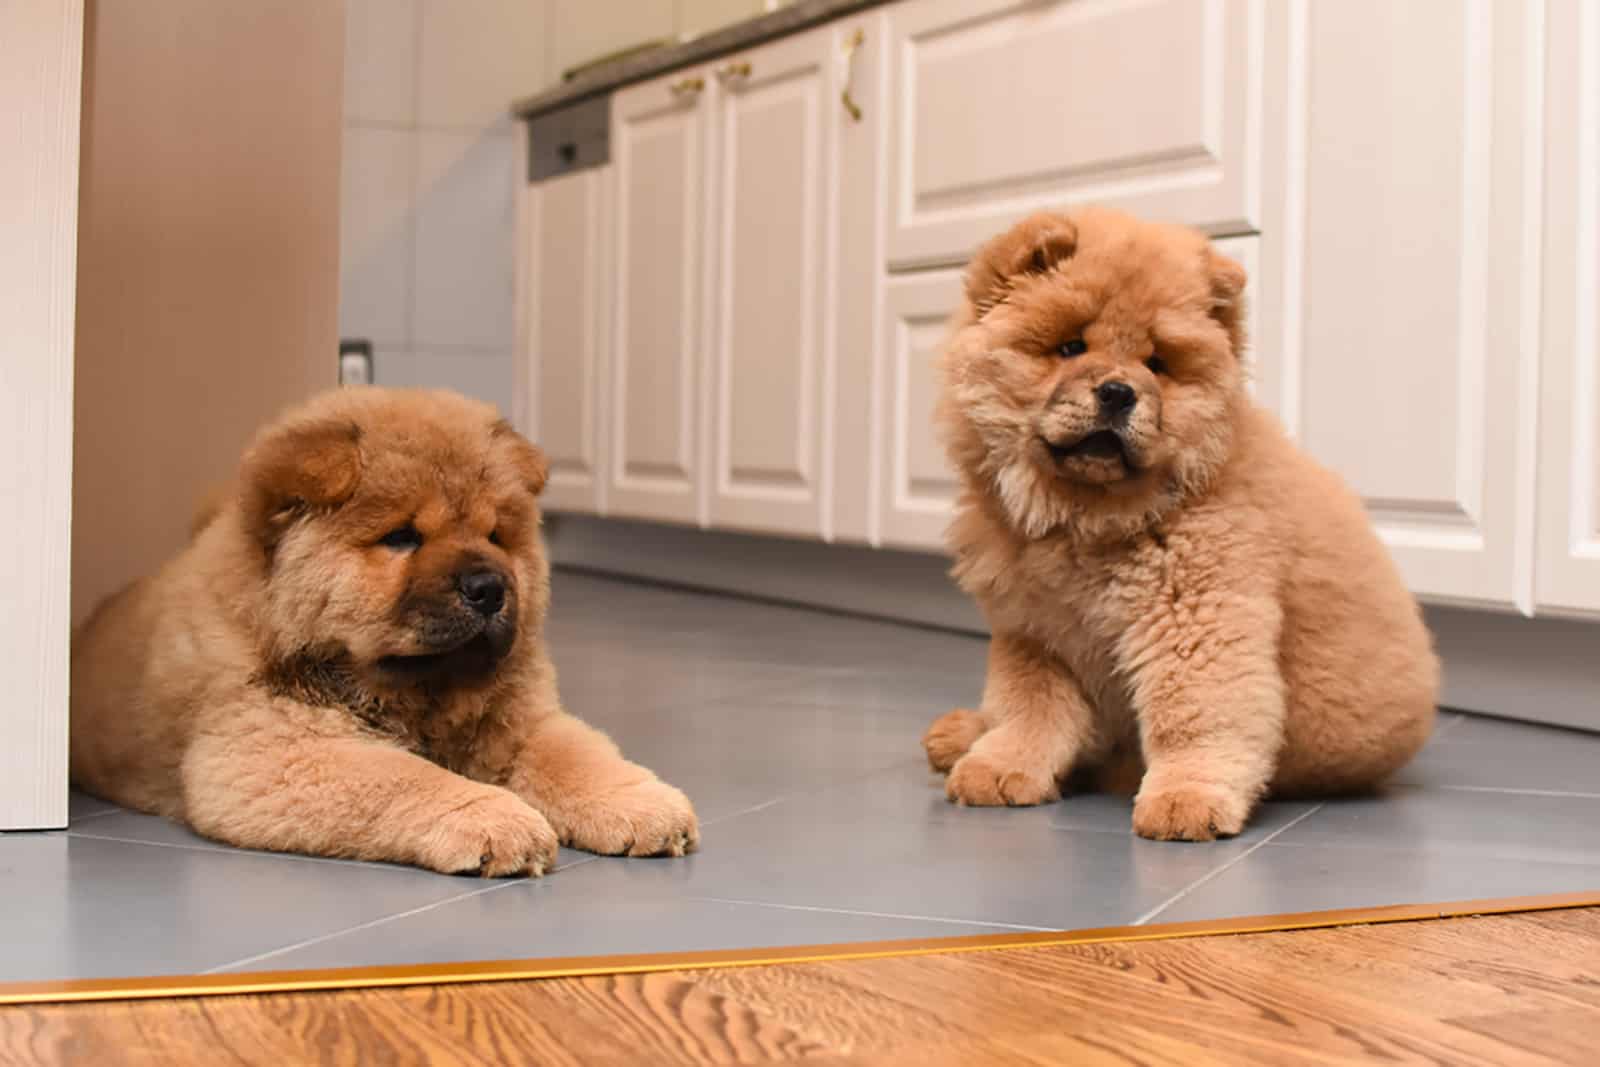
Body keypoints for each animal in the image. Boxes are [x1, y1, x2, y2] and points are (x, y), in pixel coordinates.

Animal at [70, 390, 694, 876]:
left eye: (496, 535)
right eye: (401, 538)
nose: (490, 587)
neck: (420, 695)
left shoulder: (521, 721)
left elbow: (578, 756)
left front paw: (645, 807)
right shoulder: (269, 752)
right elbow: (405, 777)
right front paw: (497, 820)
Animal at [928, 211, 1440, 844]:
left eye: (1157, 364)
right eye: (1070, 347)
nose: (1118, 391)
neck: (1088, 520)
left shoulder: (1194, 613)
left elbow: (1193, 711)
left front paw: (1185, 799)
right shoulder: (1038, 633)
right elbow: (1030, 708)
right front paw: (1001, 767)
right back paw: (960, 733)